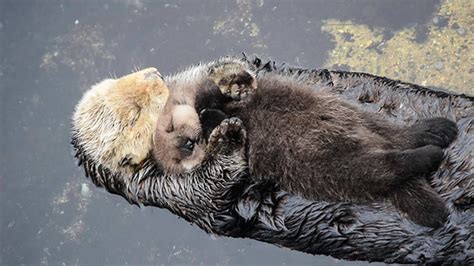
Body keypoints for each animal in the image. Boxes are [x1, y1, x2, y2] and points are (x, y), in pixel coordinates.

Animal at [154, 61, 458, 228]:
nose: (189, 141)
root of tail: (372, 141)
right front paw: (217, 120)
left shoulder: (209, 96)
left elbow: (216, 98)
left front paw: (227, 92)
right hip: (335, 166)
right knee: (387, 166)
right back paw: (431, 156)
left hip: (350, 117)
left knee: (396, 136)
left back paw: (436, 131)